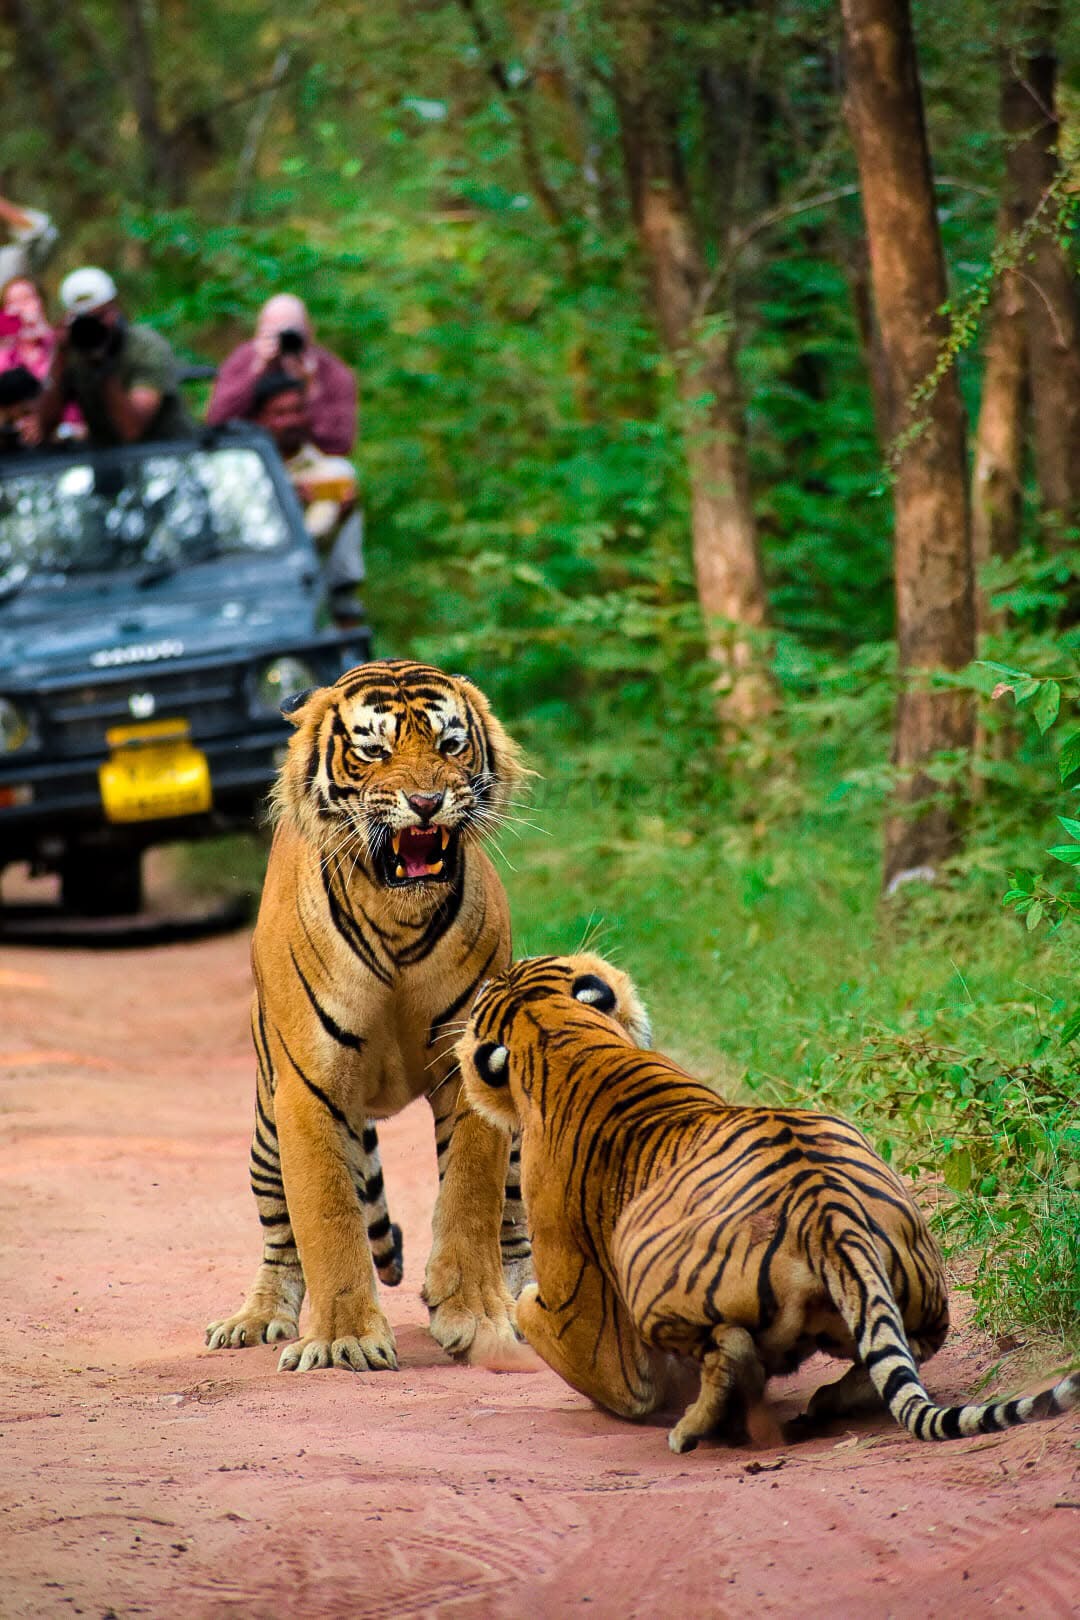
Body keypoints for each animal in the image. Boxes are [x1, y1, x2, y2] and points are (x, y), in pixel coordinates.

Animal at [206, 659, 534, 1373]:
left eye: (450, 744)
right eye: (375, 750)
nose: (426, 802)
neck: (397, 913)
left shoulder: (471, 1071)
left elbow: (470, 1198)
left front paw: (474, 1314)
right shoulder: (310, 1088)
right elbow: (328, 1216)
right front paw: (344, 1339)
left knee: (516, 1217)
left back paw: (525, 1299)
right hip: (267, 1129)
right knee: (280, 1236)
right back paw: (255, 1318)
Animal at [457, 952, 1080, 1453]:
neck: (556, 1031)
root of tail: (828, 1215)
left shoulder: (584, 1322)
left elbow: (542, 1320)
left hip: (652, 1290)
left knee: (729, 1351)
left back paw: (692, 1431)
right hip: (920, 1289)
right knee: (909, 1345)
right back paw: (823, 1403)